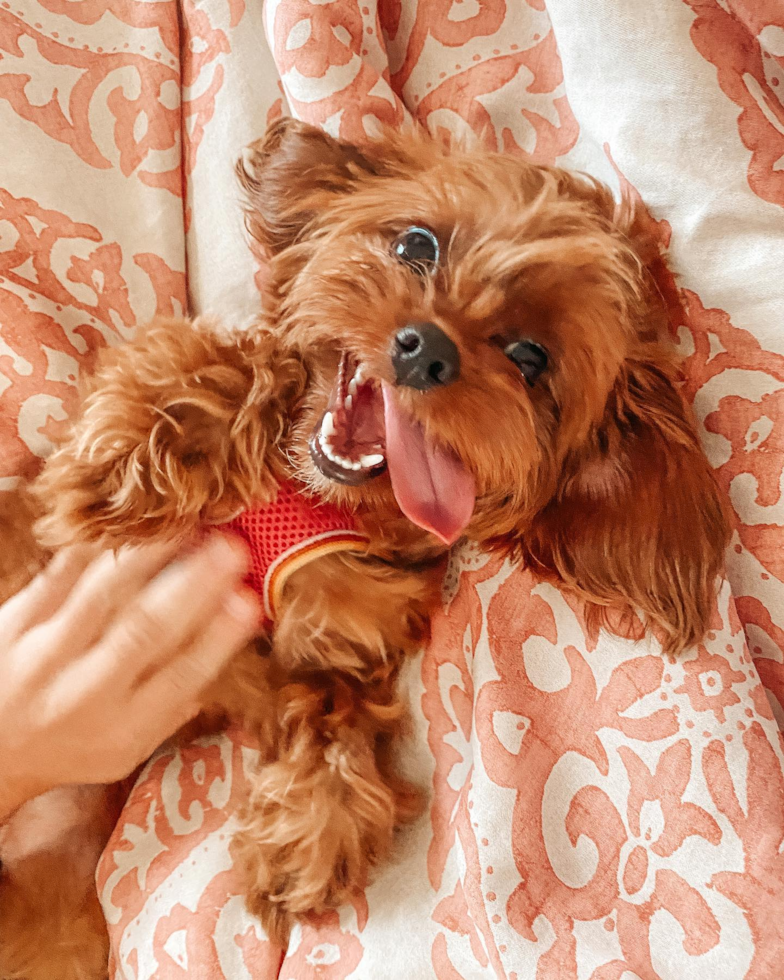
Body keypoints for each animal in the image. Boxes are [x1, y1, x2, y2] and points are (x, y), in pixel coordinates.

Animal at [0, 118, 728, 976]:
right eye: (417, 244)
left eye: (530, 359)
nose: (426, 348)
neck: (313, 497)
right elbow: (213, 365)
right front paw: (146, 447)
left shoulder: (330, 640)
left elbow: (331, 707)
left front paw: (314, 822)